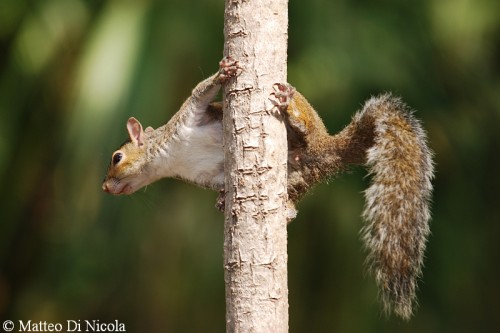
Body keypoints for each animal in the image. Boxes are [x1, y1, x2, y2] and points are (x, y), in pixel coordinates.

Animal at [101, 57, 434, 320]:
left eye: (117, 158)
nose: (105, 188)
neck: (171, 159)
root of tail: (327, 150)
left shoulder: (189, 116)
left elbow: (201, 91)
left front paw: (223, 73)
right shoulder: (207, 173)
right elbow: (220, 183)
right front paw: (221, 199)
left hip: (306, 129)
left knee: (305, 129)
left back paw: (292, 113)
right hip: (295, 178)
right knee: (294, 201)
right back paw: (285, 209)